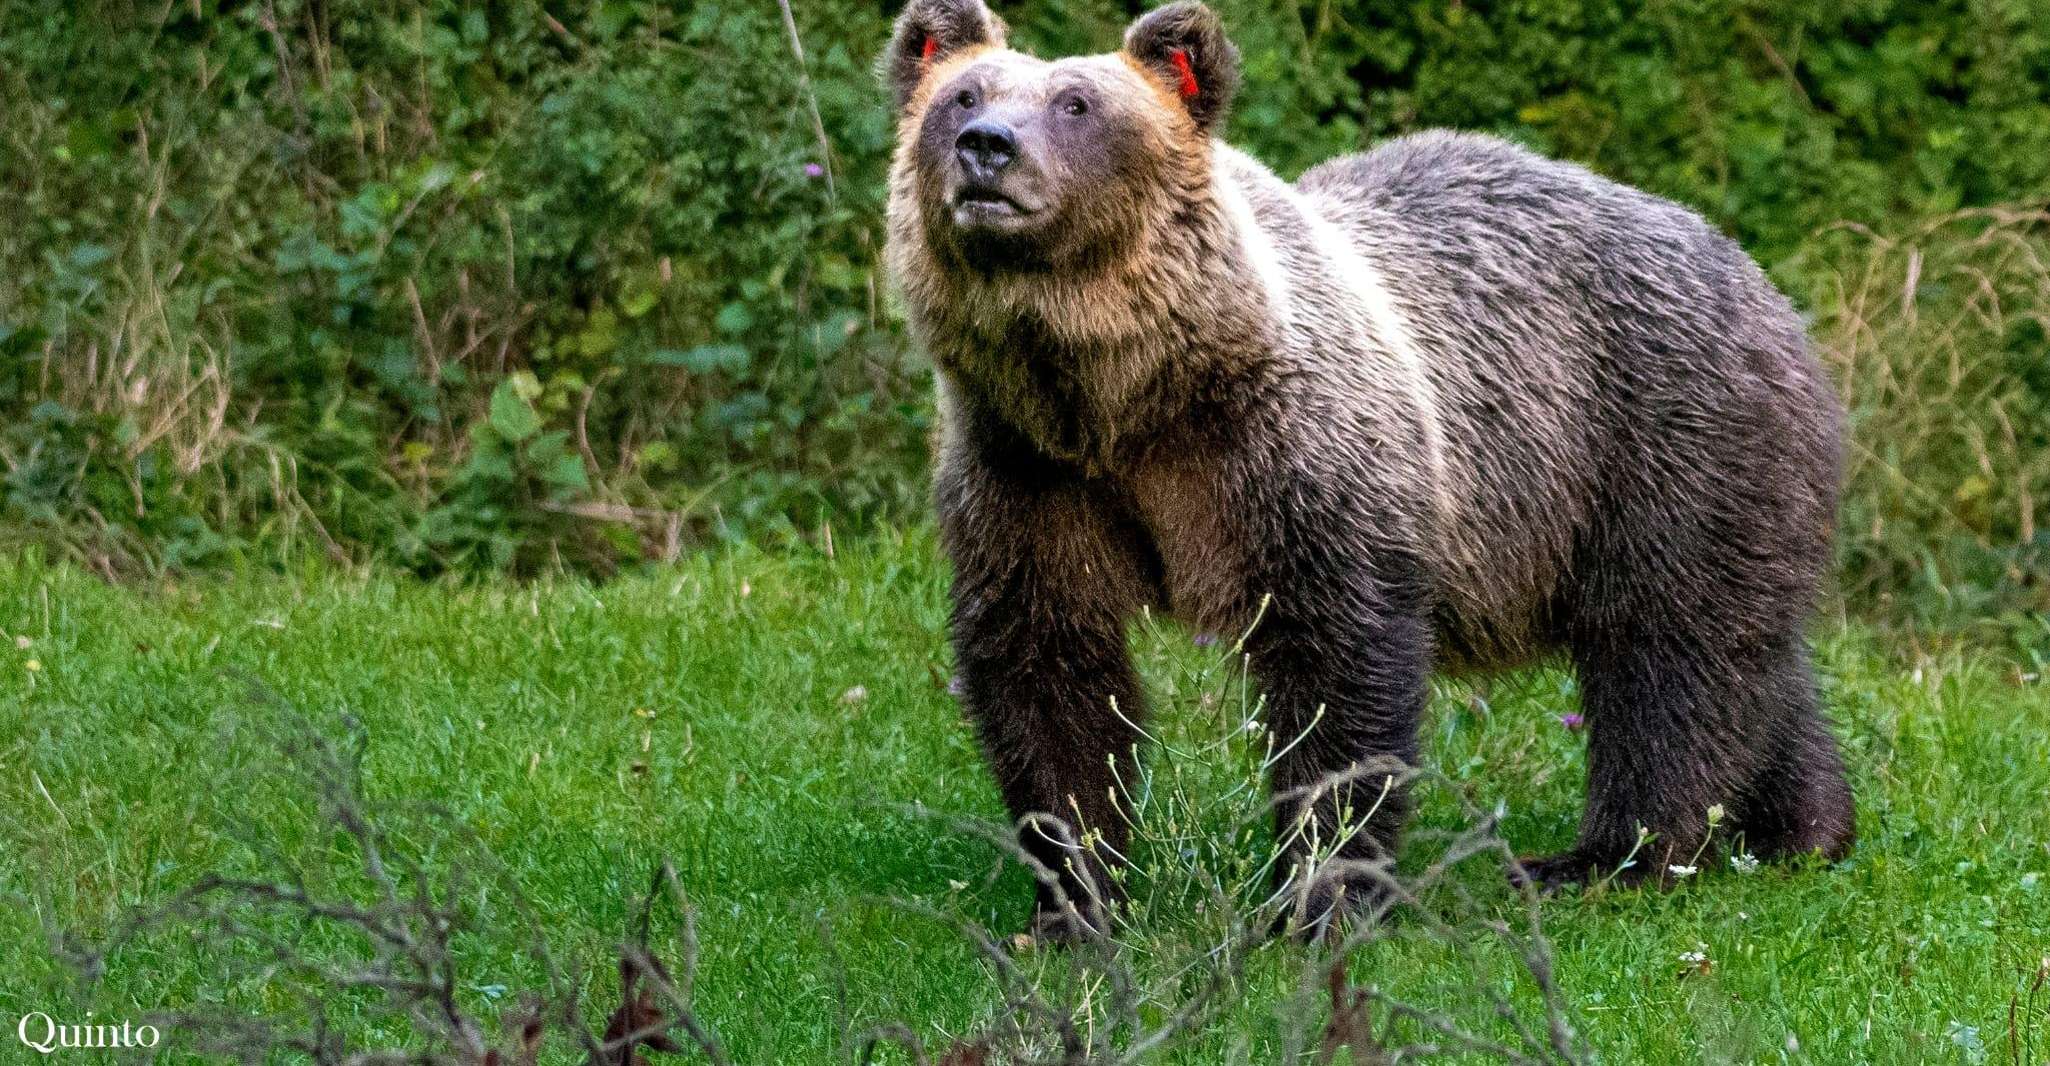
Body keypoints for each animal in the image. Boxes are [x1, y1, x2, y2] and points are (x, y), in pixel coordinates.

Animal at [881, 0, 1855, 940]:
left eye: (1077, 104)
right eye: (962, 97)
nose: (988, 148)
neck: (1130, 397)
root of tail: (1764, 283)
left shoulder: (1291, 458)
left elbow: (1338, 668)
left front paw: (1319, 894)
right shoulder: (1028, 468)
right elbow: (1047, 666)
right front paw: (1073, 899)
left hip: (1658, 438)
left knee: (1667, 655)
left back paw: (1611, 857)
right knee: (1750, 659)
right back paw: (1801, 829)